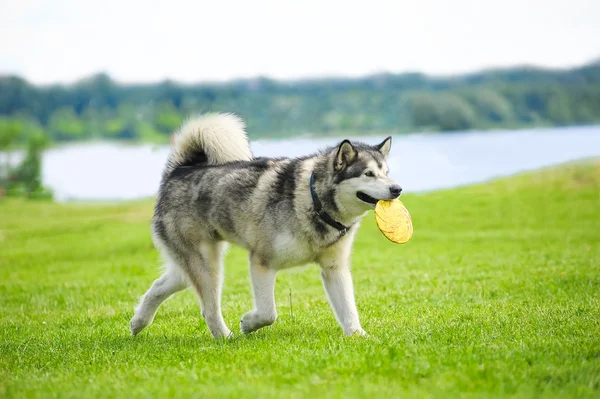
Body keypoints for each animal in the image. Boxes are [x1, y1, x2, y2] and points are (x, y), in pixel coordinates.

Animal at [131, 112, 404, 338]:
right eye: (368, 174)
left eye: (387, 172)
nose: (397, 189)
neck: (313, 201)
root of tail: (178, 170)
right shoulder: (261, 262)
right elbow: (268, 313)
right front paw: (248, 323)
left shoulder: (334, 268)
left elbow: (348, 309)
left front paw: (359, 337)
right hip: (208, 267)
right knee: (209, 309)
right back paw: (225, 336)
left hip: (193, 264)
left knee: (162, 284)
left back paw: (138, 322)